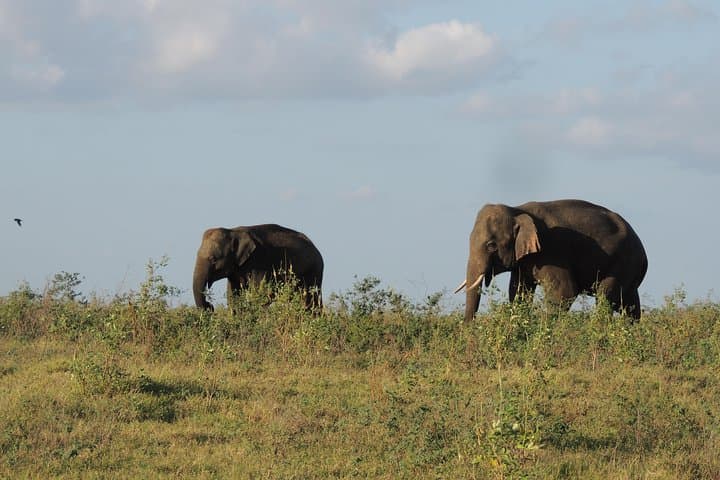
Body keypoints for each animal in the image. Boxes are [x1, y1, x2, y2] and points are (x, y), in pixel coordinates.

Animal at [193, 224, 324, 312]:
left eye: (213, 259)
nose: (210, 305)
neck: (233, 232)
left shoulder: (259, 261)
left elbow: (260, 293)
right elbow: (233, 295)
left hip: (313, 270)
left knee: (310, 298)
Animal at [455, 199, 648, 321]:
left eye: (491, 245)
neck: (517, 210)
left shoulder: (552, 252)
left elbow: (564, 292)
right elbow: (518, 293)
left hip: (624, 263)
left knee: (606, 299)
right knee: (629, 305)